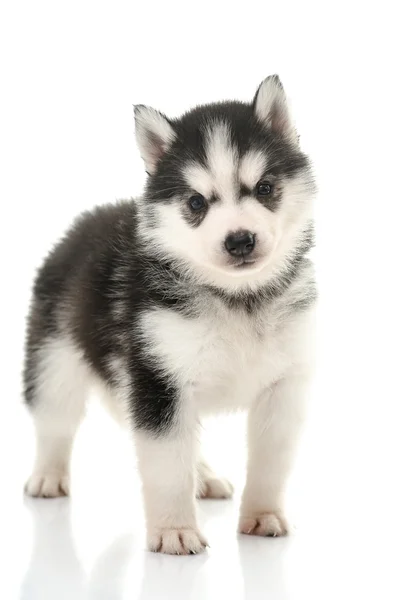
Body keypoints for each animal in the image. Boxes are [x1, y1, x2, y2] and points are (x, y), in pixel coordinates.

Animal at [24, 76, 316, 556]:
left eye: (265, 188)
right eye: (196, 203)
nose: (239, 240)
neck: (236, 298)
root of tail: (87, 220)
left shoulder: (283, 387)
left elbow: (270, 460)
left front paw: (263, 514)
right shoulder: (159, 380)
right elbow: (165, 465)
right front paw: (174, 530)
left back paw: (204, 476)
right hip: (55, 360)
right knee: (55, 421)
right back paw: (48, 475)